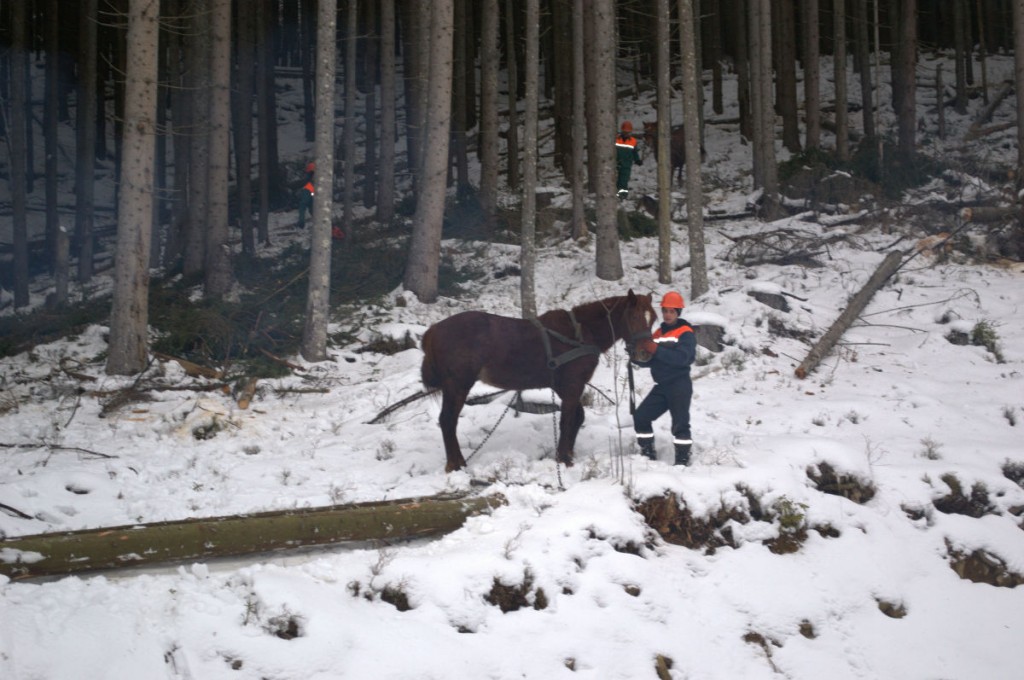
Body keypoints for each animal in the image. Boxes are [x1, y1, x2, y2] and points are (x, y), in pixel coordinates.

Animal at [417, 290, 651, 473]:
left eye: (653, 318)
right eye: (634, 316)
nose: (645, 353)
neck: (580, 334)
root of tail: (433, 330)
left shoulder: (566, 387)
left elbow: (578, 417)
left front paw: (568, 453)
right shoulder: (573, 385)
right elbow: (567, 420)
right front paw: (564, 459)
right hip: (457, 386)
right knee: (447, 420)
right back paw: (455, 465)